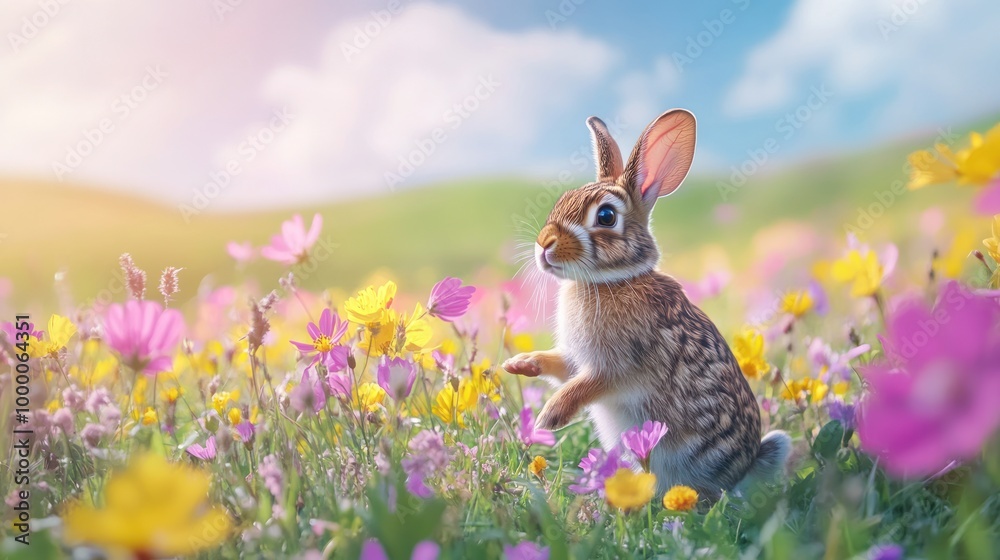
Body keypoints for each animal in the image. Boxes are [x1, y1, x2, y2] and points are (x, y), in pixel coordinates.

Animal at [502, 109, 790, 497]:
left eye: (606, 217)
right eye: (563, 199)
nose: (544, 243)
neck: (613, 280)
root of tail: (745, 469)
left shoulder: (619, 366)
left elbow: (587, 385)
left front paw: (550, 416)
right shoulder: (577, 360)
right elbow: (559, 366)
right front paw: (519, 364)